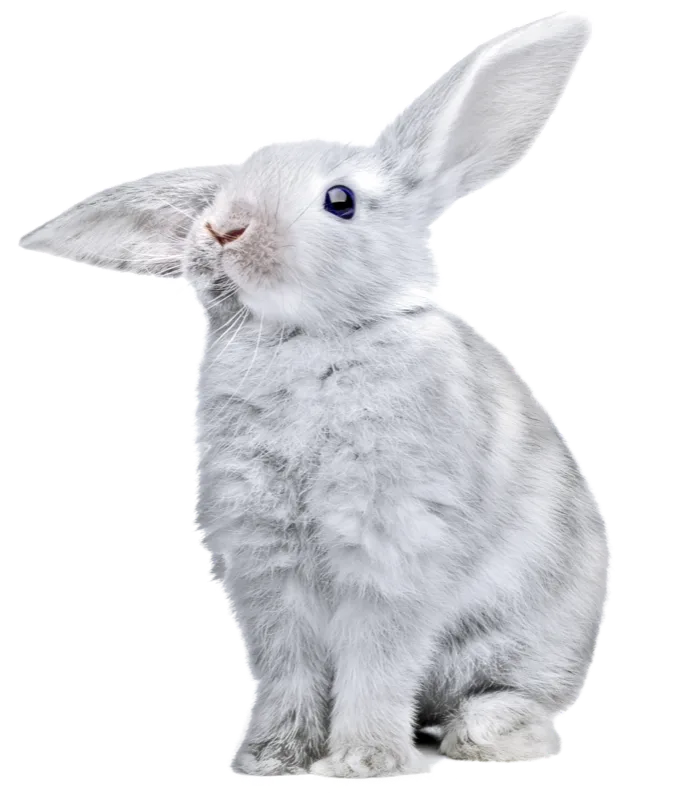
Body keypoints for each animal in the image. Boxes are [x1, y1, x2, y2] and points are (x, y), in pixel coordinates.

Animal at [19, 10, 611, 778]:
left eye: (340, 202)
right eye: (217, 198)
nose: (221, 228)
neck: (307, 341)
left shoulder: (390, 548)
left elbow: (377, 664)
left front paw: (362, 761)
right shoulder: (266, 565)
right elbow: (286, 668)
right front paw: (271, 757)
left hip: (521, 645)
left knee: (507, 700)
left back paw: (488, 739)